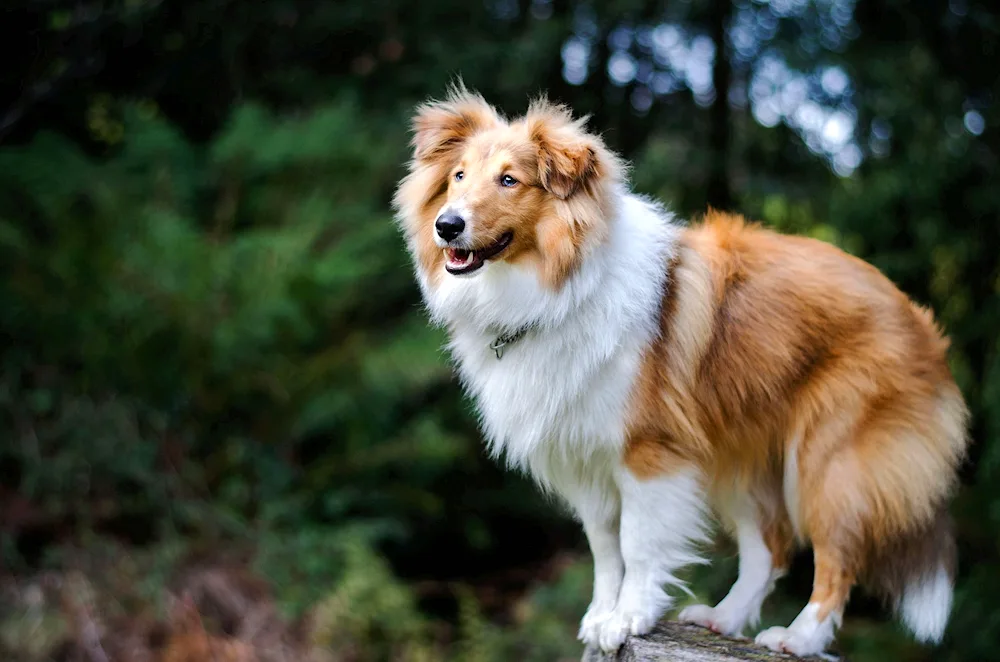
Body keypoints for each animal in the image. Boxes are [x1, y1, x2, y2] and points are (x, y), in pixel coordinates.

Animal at [390, 84, 968, 660]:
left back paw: (799, 636)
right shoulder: (585, 456)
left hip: (828, 462)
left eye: (510, 179)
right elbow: (604, 547)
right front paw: (601, 616)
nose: (447, 226)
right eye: (458, 176)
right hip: (741, 452)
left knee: (837, 555)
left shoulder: (649, 452)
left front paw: (629, 618)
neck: (562, 288)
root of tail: (918, 318)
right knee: (770, 548)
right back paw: (724, 619)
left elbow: (638, 544)